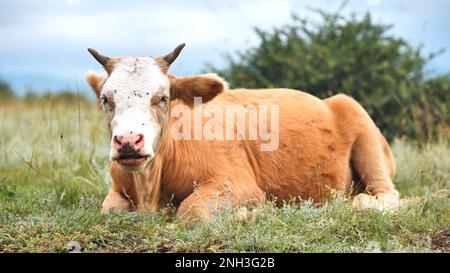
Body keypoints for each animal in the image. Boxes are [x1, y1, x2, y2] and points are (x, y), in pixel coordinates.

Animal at [86, 43, 400, 220]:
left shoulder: (237, 183)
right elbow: (109, 211)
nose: (128, 141)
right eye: (105, 99)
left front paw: (248, 214)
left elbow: (191, 211)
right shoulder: (117, 188)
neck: (150, 190)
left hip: (365, 136)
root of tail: (329, 100)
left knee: (387, 195)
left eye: (163, 98)